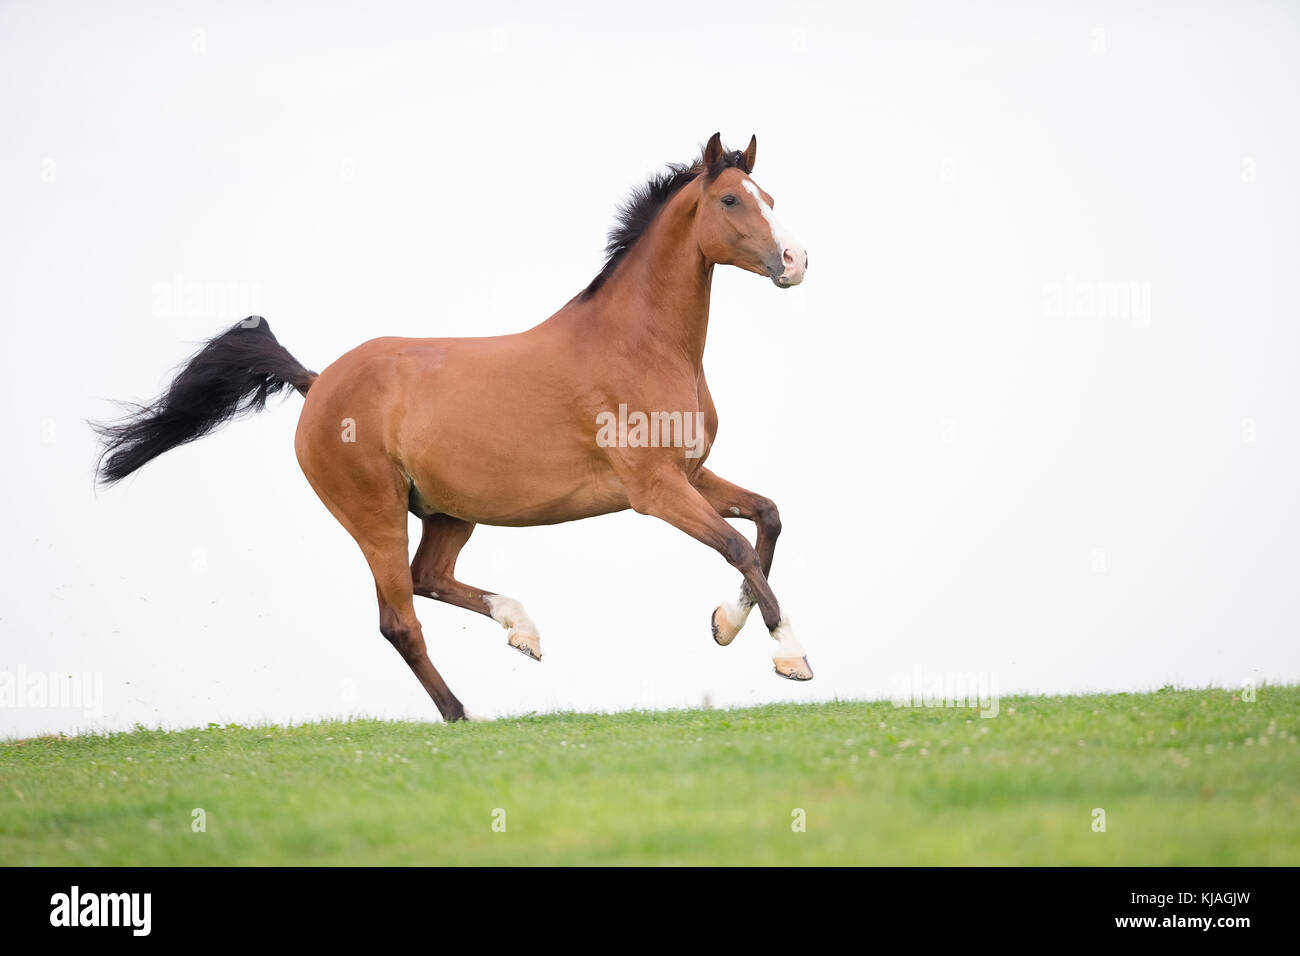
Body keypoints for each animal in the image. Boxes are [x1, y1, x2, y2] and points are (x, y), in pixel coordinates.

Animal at [96, 130, 811, 723]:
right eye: (730, 200)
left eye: (770, 197)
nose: (796, 260)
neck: (640, 345)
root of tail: (318, 381)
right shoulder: (653, 491)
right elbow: (737, 546)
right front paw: (790, 656)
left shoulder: (690, 473)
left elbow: (767, 518)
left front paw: (725, 624)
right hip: (376, 513)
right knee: (399, 617)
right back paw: (461, 713)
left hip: (449, 511)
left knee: (427, 578)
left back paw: (522, 630)